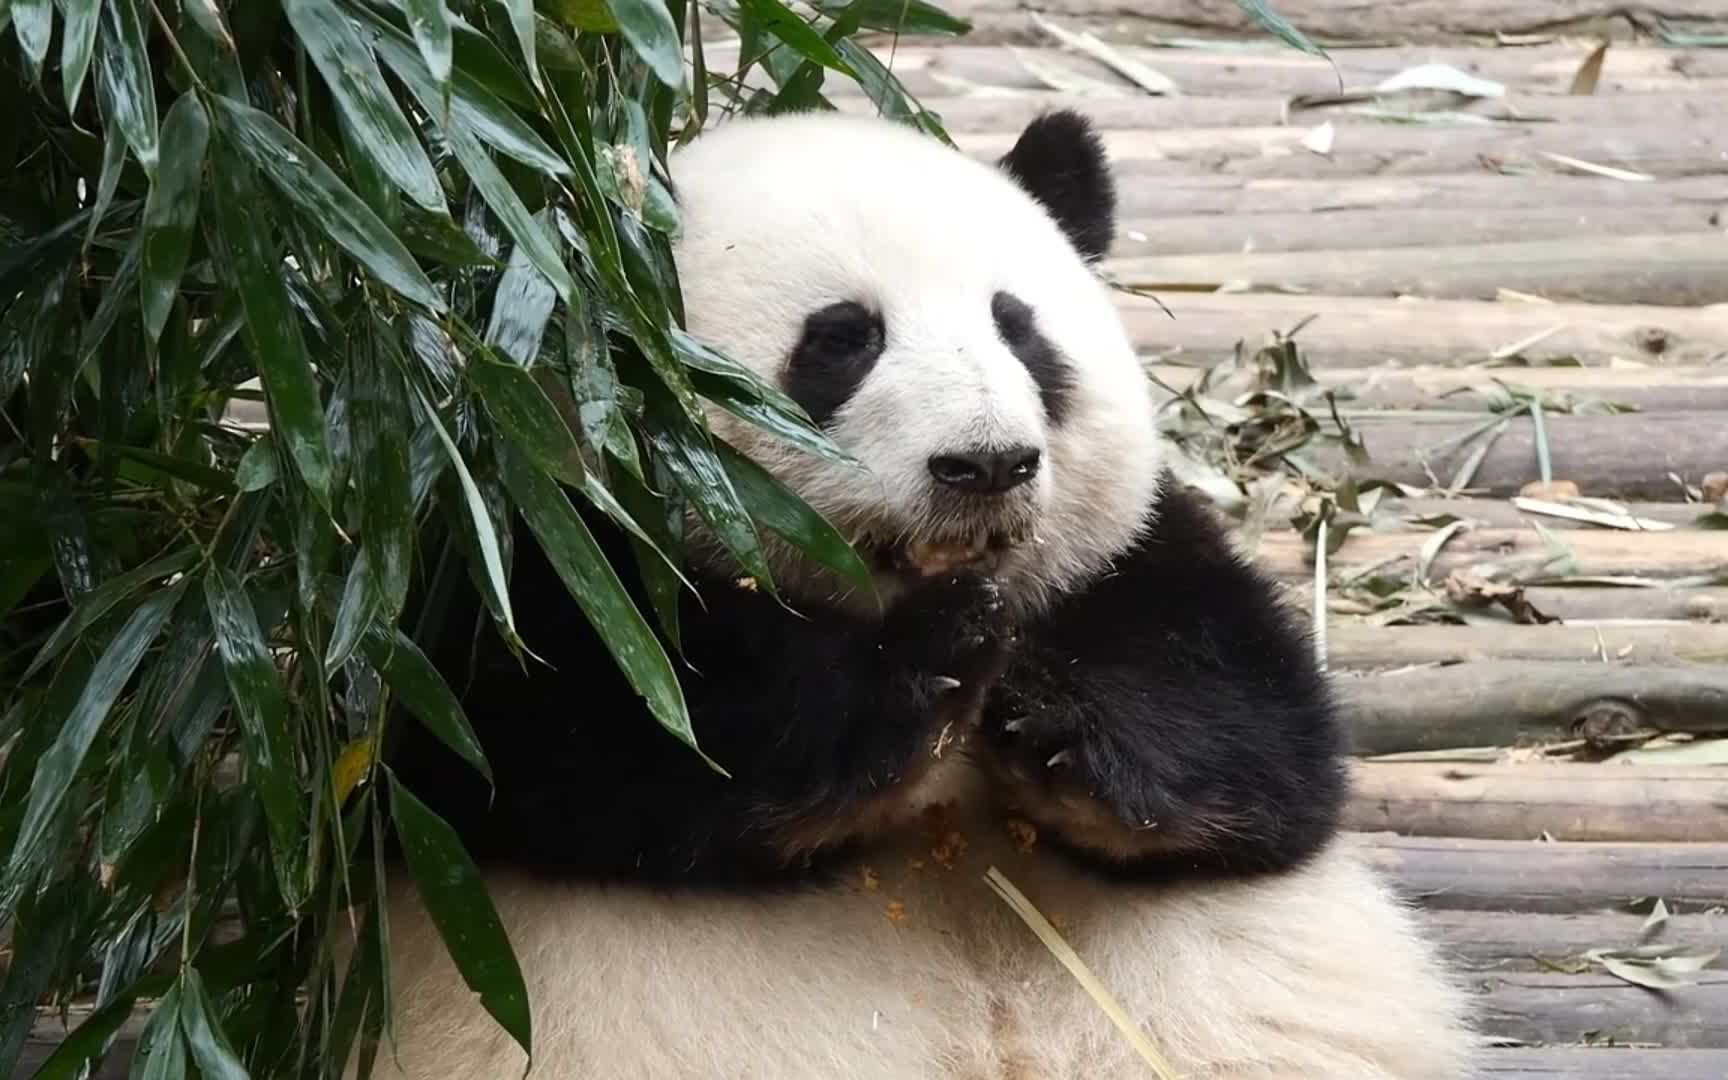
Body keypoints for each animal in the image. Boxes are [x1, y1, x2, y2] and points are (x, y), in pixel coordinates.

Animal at [364, 109, 1472, 1078]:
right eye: (843, 337)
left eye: (1019, 330)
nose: (986, 464)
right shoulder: (531, 557)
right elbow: (554, 747)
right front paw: (916, 678)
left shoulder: (1132, 557)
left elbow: (1267, 744)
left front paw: (1062, 728)